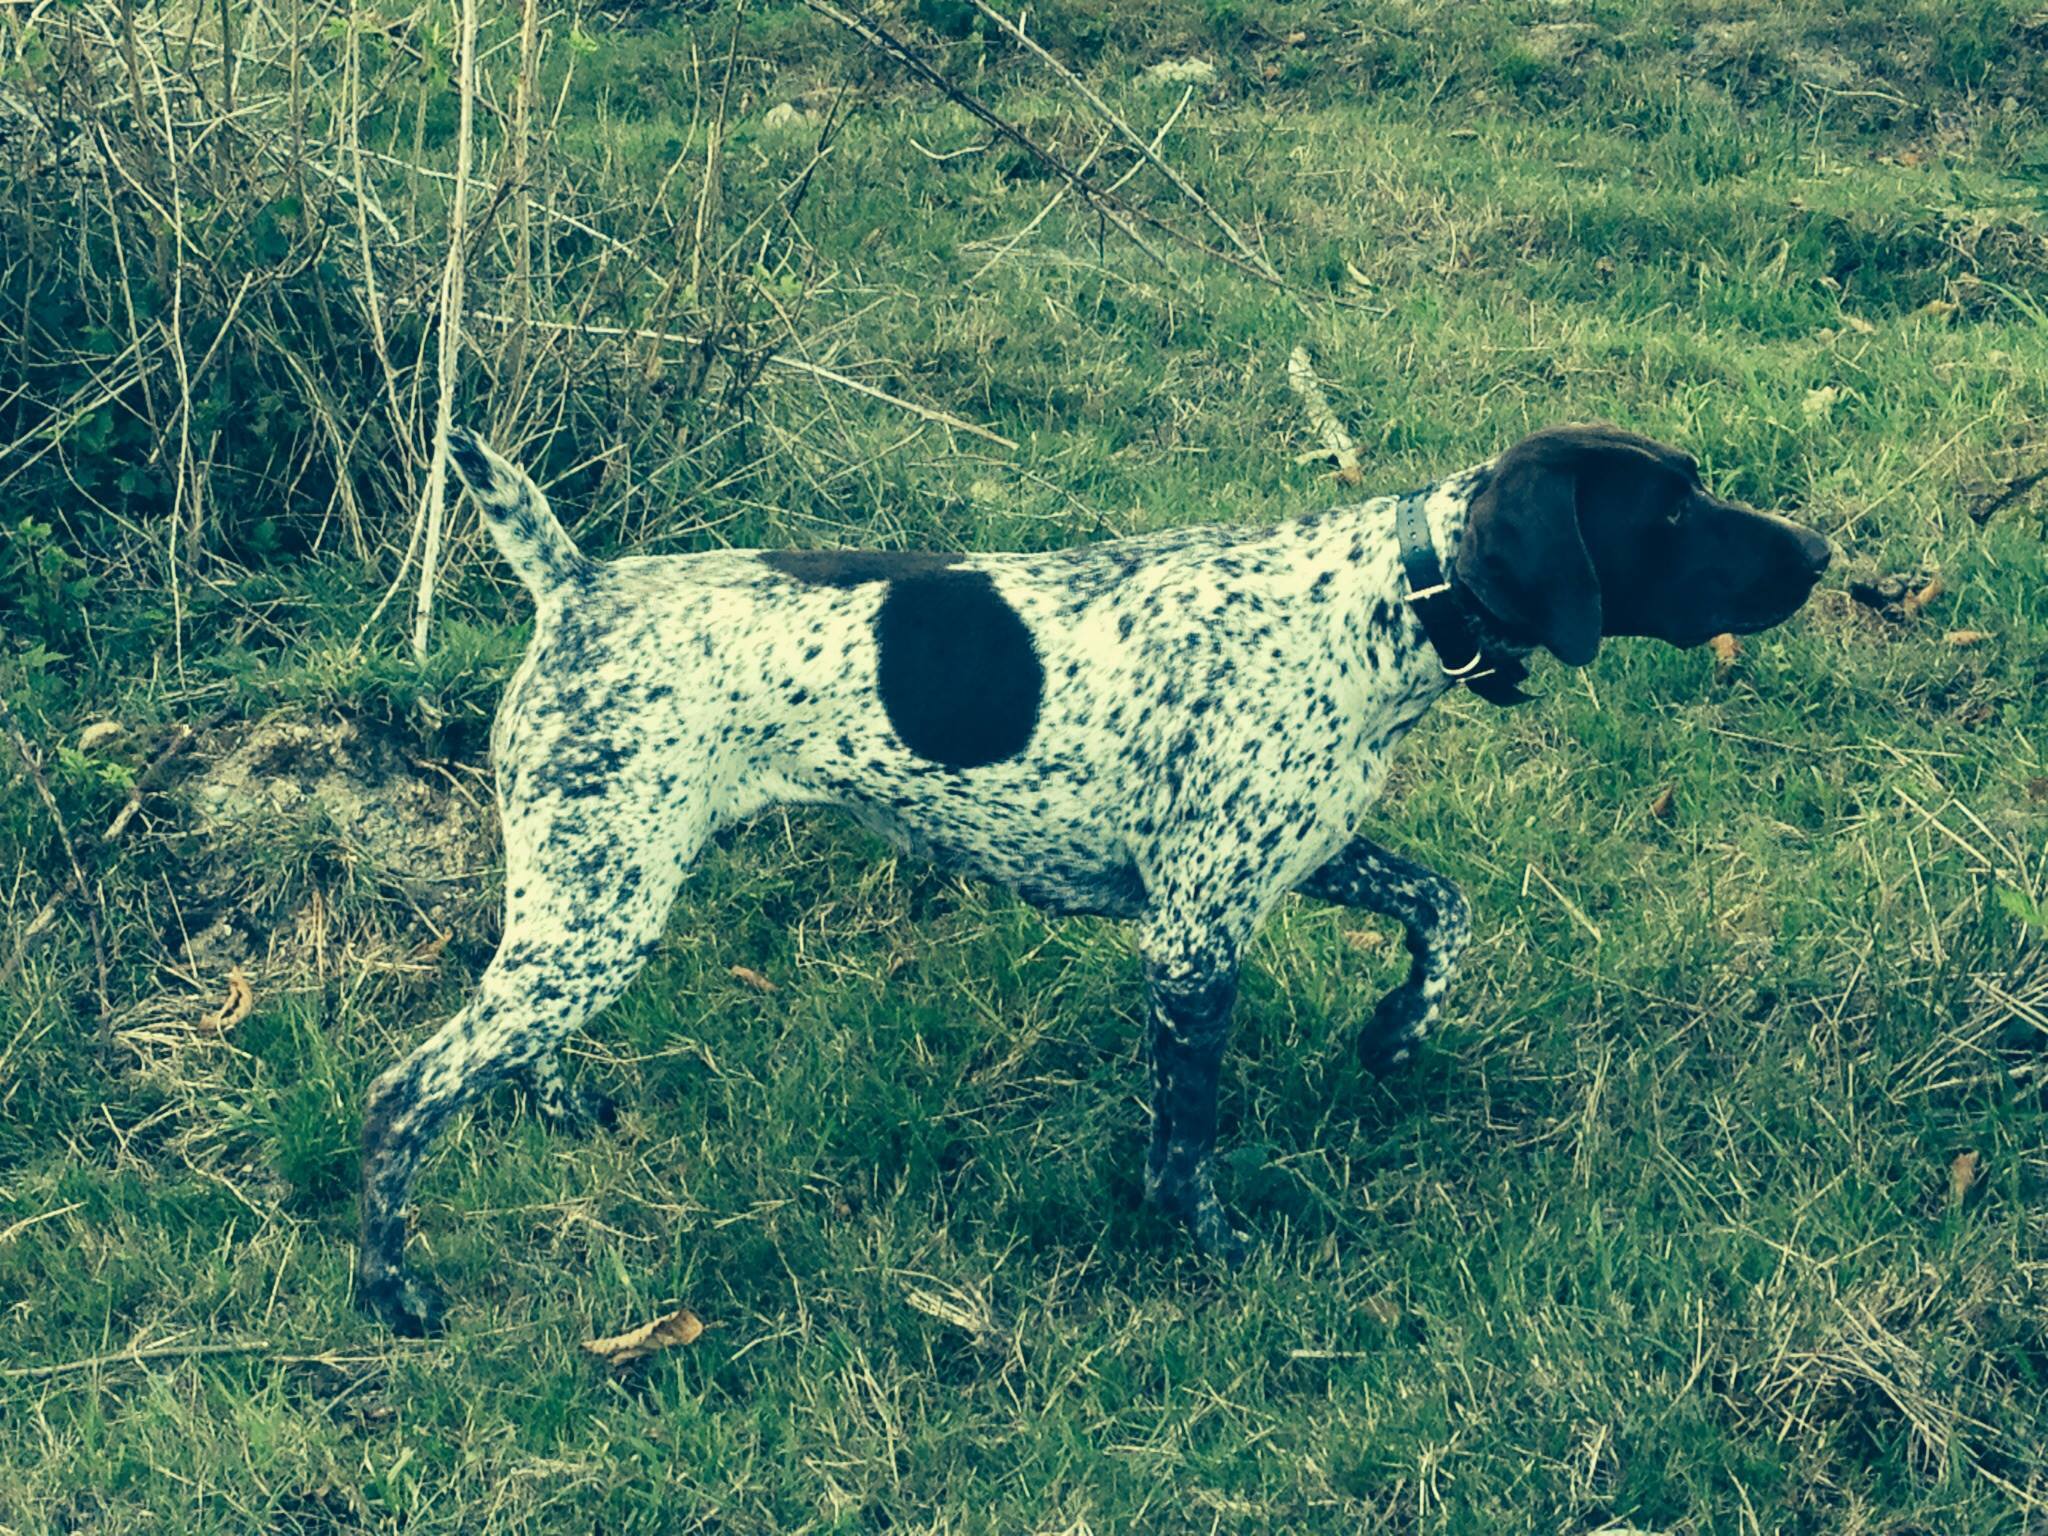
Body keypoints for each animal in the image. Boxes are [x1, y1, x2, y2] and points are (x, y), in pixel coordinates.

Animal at [348, 421, 1826, 1335]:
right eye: (1673, 509)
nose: (1817, 554)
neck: (1385, 606)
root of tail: (575, 584)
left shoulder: (1303, 858)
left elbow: (1445, 911)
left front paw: (1393, 1036)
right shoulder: (1195, 938)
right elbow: (1186, 1142)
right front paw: (1215, 1251)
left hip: (590, 899)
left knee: (505, 1051)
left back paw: (567, 1108)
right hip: (597, 908)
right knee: (403, 1097)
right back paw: (392, 1294)